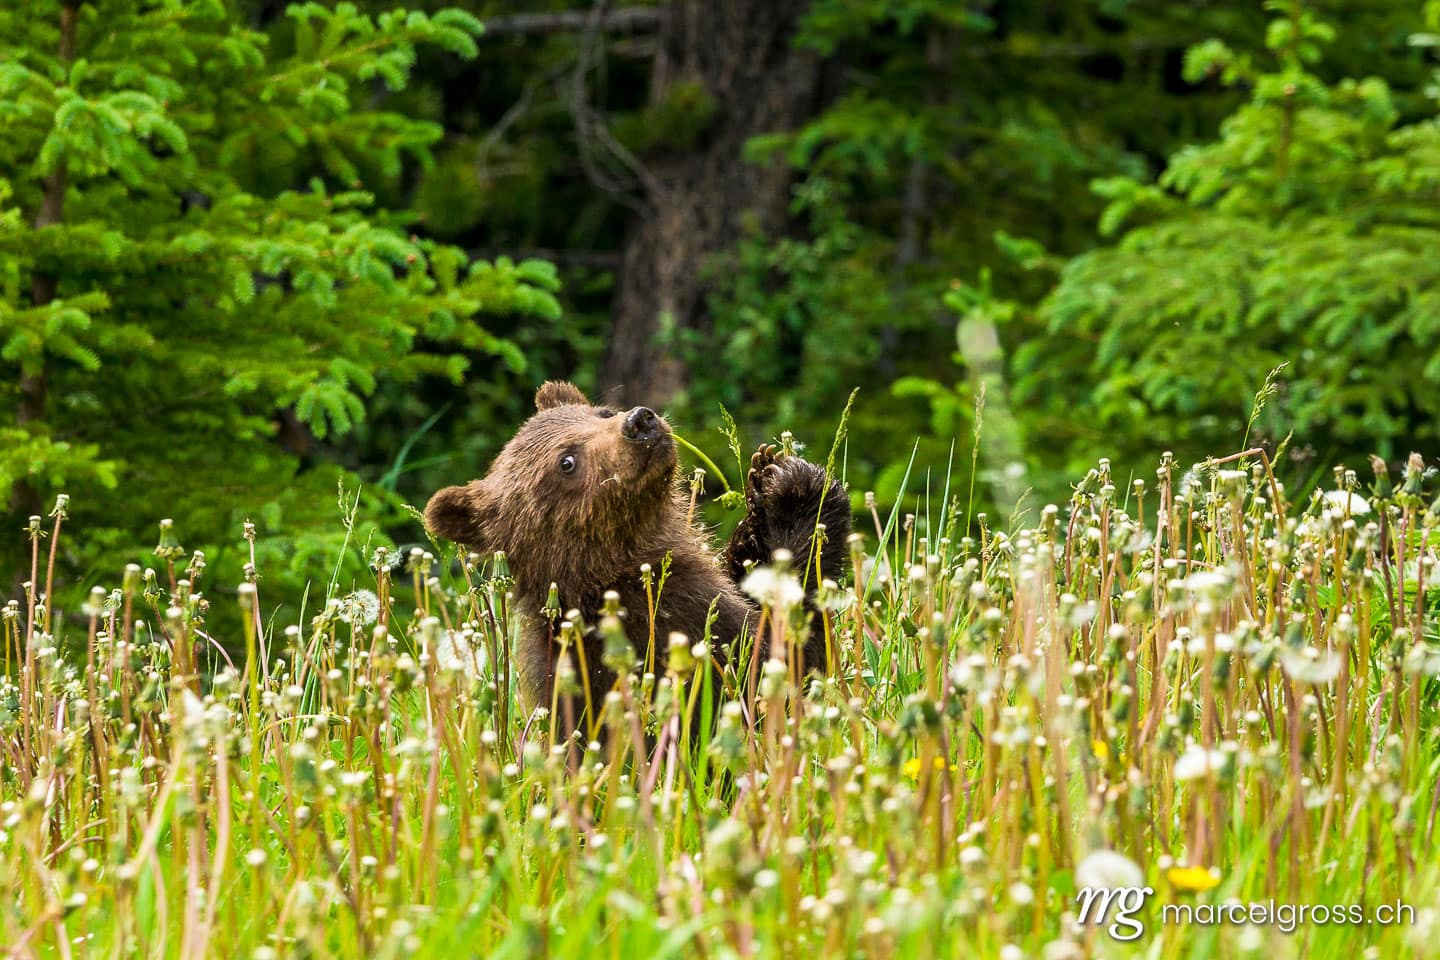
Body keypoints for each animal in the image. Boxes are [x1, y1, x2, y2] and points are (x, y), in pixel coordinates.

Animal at [423, 380, 851, 731]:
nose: (639, 421)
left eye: (601, 412)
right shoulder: (674, 627)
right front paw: (796, 491)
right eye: (566, 461)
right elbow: (785, 663)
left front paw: (765, 478)